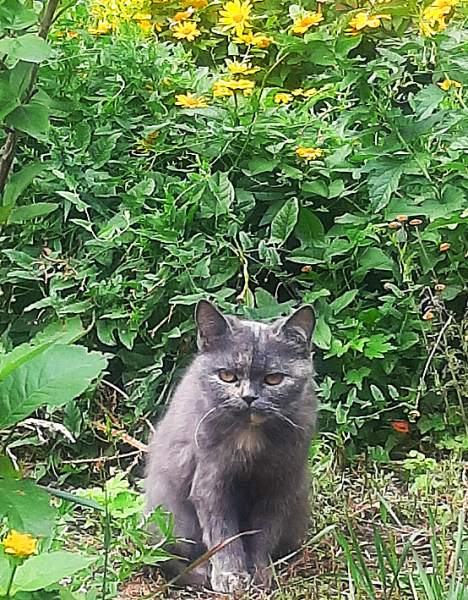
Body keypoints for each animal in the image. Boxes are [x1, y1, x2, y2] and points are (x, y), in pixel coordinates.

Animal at [145, 299, 317, 593]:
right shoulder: (211, 481)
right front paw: (230, 576)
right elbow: (223, 533)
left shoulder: (280, 486)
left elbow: (263, 534)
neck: (250, 439)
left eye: (274, 379)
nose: (248, 397)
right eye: (226, 375)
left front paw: (259, 575)